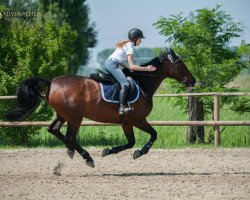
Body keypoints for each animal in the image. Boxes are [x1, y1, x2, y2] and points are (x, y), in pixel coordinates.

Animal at [5, 48, 195, 167]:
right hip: (75, 118)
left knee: (55, 130)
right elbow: (153, 135)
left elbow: (130, 142)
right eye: (181, 64)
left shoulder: (127, 122)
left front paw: (108, 150)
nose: (192, 81)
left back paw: (72, 151)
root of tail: (52, 83)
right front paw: (140, 152)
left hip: (63, 115)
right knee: (70, 137)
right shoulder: (138, 119)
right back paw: (87, 157)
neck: (142, 84)